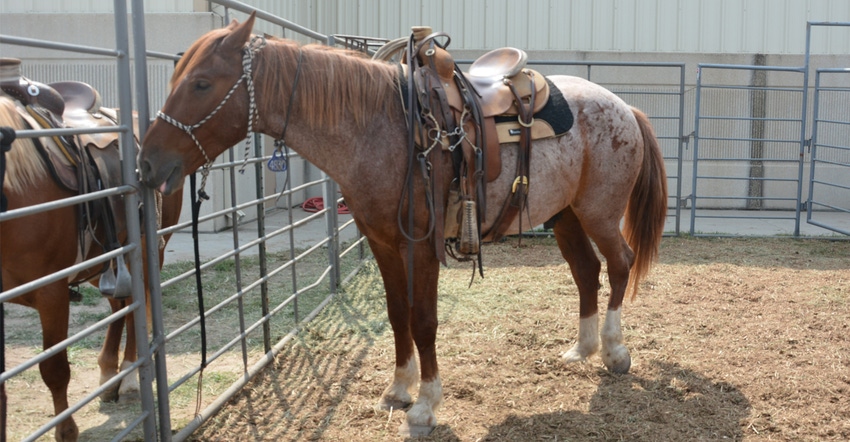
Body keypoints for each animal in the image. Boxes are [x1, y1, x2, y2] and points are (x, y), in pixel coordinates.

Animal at [0, 83, 181, 442]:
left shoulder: (52, 292)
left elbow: (55, 369)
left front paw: (66, 430)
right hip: (103, 263)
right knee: (120, 307)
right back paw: (110, 372)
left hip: (146, 250)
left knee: (137, 306)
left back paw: (129, 378)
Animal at [136, 13, 664, 436]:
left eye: (202, 83)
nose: (147, 165)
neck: (381, 130)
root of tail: (625, 107)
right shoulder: (383, 244)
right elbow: (397, 316)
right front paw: (398, 389)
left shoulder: (421, 246)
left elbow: (424, 320)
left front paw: (426, 406)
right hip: (566, 216)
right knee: (586, 273)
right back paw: (582, 349)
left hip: (598, 212)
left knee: (619, 264)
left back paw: (615, 352)